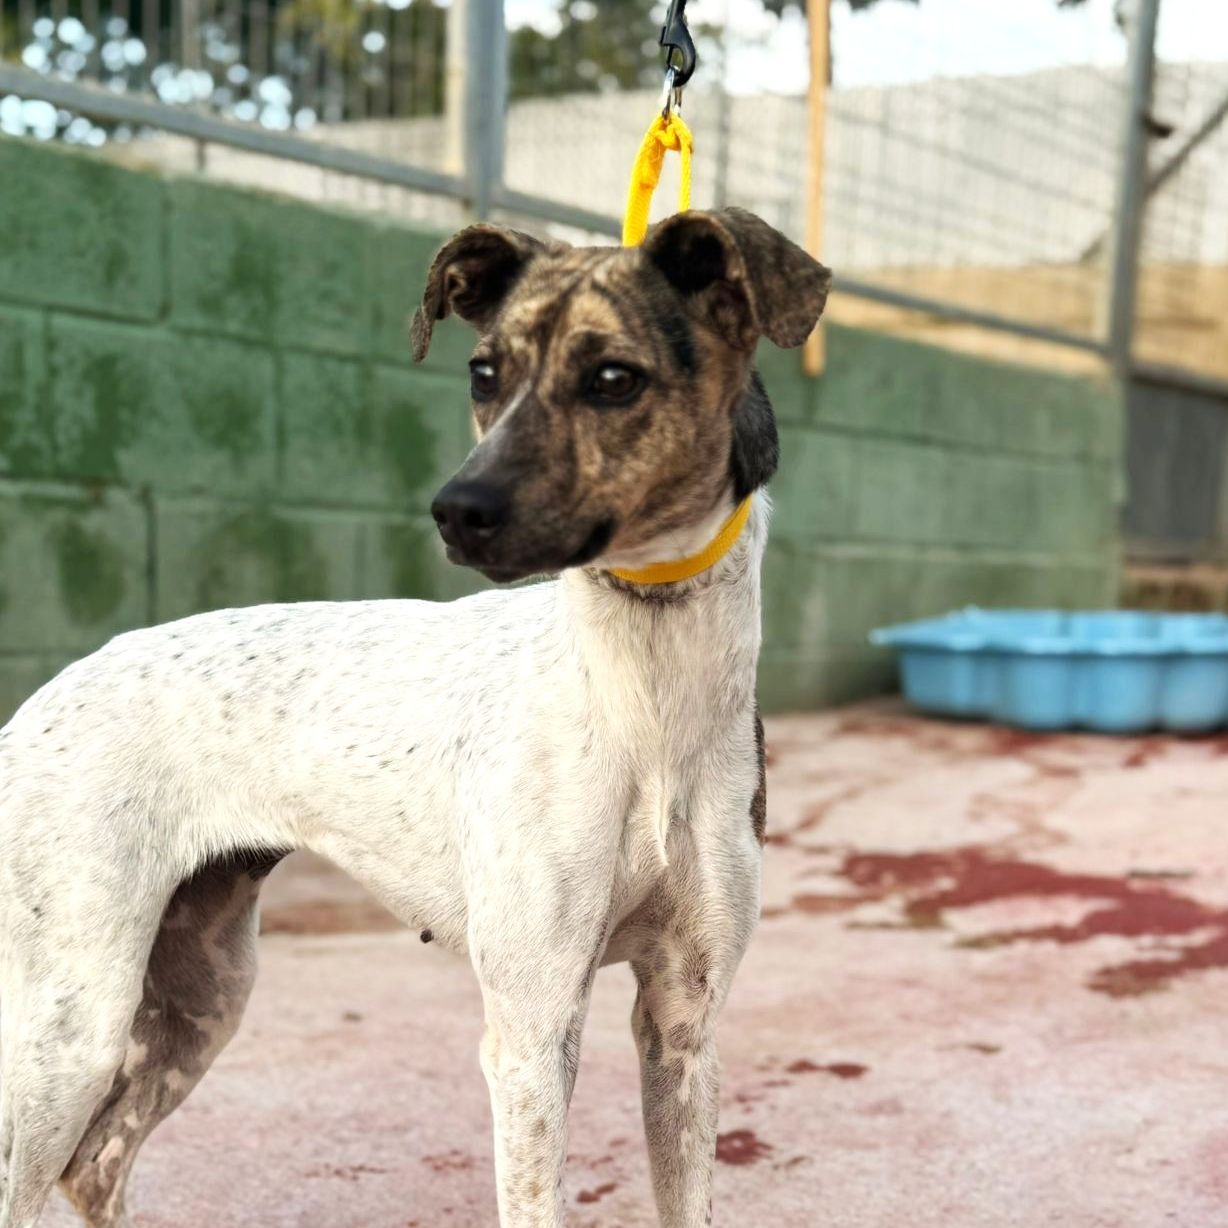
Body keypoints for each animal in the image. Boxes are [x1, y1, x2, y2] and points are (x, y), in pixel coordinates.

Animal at [0, 206, 830, 1228]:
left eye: (613, 378)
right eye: (483, 373)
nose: (455, 511)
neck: (645, 702)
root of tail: (43, 696)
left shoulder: (683, 1022)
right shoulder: (531, 1031)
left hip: (201, 991)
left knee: (99, 1166)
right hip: (73, 1024)